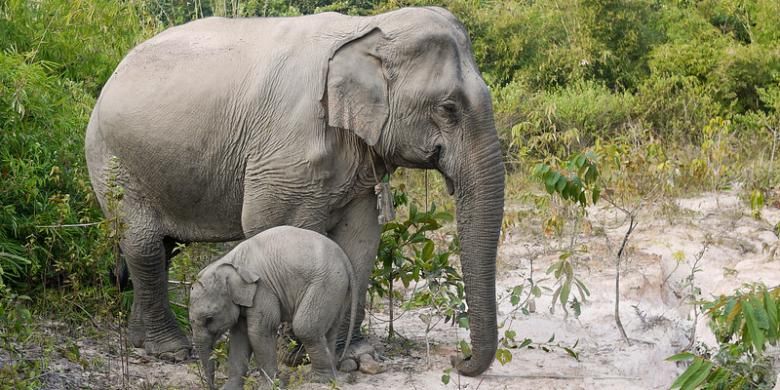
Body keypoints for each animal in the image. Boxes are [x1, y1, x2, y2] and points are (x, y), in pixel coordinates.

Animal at [189, 225, 356, 390]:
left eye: (209, 319)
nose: (213, 387)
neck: (230, 262)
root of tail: (345, 259)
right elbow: (239, 336)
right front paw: (229, 389)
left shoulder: (263, 290)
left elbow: (260, 331)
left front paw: (271, 386)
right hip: (339, 289)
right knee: (329, 330)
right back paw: (331, 377)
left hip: (326, 283)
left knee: (306, 328)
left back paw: (318, 380)